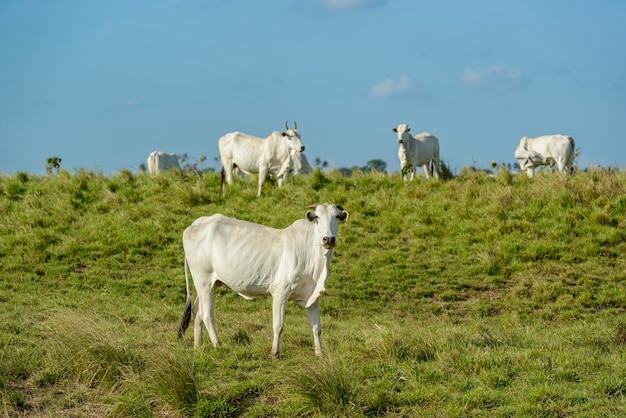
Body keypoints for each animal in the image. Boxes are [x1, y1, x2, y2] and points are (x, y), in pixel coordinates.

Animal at [178, 202, 348, 356]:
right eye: (317, 217)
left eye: (336, 216)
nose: (328, 239)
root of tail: (195, 224)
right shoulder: (280, 291)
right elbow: (278, 325)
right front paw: (274, 352)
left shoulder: (313, 296)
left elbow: (316, 327)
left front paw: (319, 354)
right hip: (203, 279)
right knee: (207, 314)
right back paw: (217, 345)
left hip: (208, 284)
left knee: (197, 312)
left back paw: (197, 347)